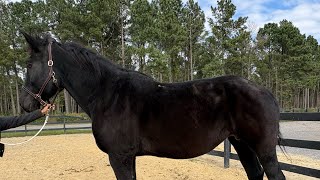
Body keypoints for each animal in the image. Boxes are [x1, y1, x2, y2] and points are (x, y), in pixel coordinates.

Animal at [19, 32, 284, 180]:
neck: (108, 94)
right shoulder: (128, 158)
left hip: (264, 149)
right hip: (241, 144)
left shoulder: (120, 157)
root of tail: (265, 91)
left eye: (30, 65)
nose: (24, 103)